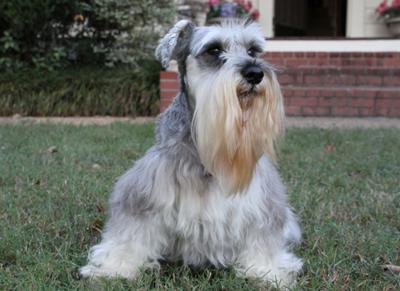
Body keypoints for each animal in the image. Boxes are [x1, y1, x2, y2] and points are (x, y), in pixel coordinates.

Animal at [79, 19, 302, 288]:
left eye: (253, 51)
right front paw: (115, 267)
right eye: (214, 50)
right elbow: (130, 234)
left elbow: (263, 239)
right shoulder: (143, 195)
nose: (255, 73)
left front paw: (267, 271)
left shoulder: (262, 204)